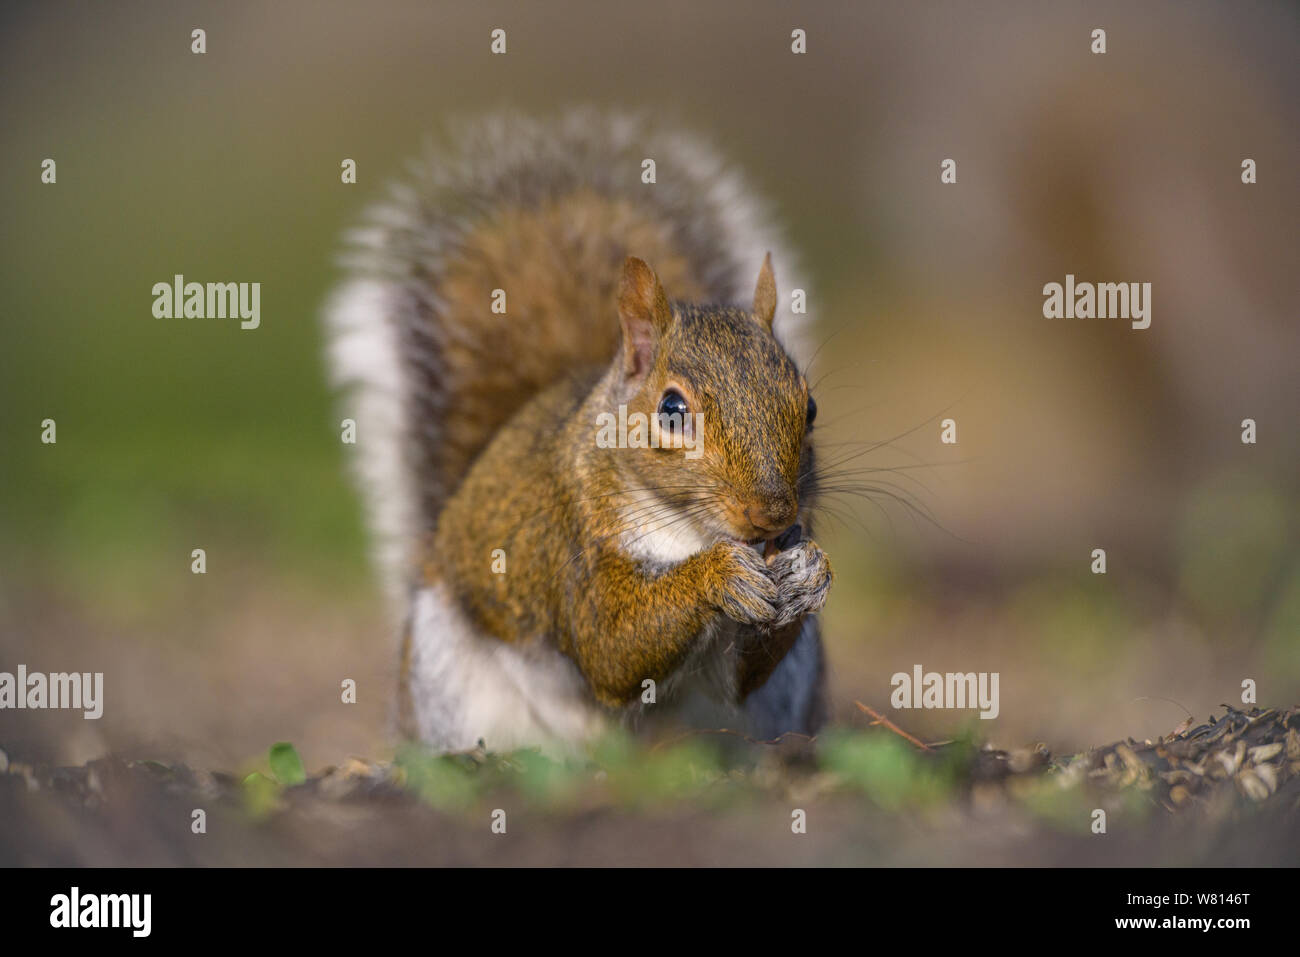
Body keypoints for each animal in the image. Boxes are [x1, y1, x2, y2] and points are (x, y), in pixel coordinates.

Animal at [324, 110, 832, 752]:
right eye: (671, 411)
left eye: (809, 407)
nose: (773, 514)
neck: (688, 530)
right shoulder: (570, 541)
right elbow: (608, 643)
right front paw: (717, 575)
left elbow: (738, 677)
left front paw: (809, 572)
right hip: (447, 674)